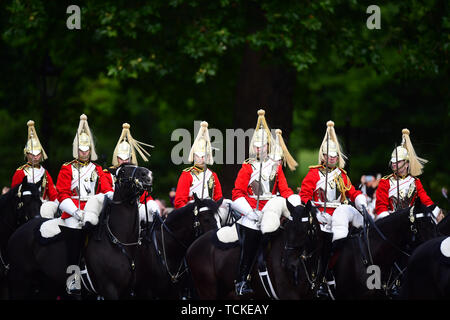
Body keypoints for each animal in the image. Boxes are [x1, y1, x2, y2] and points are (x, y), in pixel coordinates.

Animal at [5, 165, 151, 300]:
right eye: (123, 171)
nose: (147, 174)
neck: (117, 241)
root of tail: (17, 231)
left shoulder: (127, 292)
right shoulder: (109, 289)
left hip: (47, 285)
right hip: (21, 281)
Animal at [183, 199, 316, 298]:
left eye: (305, 229)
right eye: (287, 227)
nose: (288, 264)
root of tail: (191, 246)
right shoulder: (288, 294)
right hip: (208, 291)